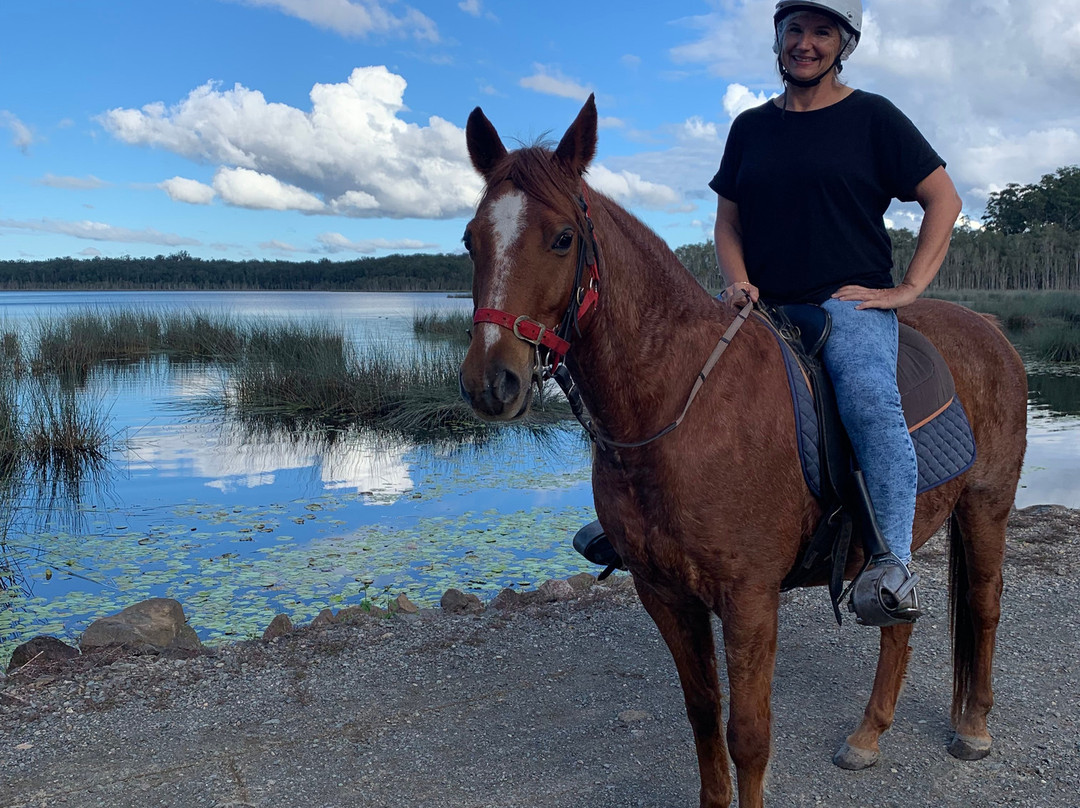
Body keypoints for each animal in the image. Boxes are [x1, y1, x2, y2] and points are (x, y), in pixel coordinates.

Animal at [457, 97, 1028, 808]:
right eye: (471, 240)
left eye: (562, 238)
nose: (492, 381)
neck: (677, 408)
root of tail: (992, 331)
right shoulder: (665, 594)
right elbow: (704, 718)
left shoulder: (750, 598)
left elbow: (749, 734)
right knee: (899, 623)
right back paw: (867, 736)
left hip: (986, 506)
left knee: (983, 605)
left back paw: (973, 726)